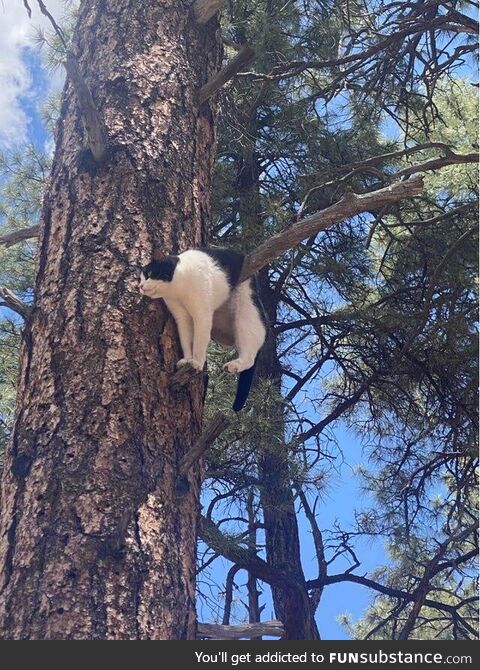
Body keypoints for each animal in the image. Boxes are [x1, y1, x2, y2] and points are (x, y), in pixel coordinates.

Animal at [139, 249, 266, 412]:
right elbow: (186, 340)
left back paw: (234, 365)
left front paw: (197, 363)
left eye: (149, 274)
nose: (140, 286)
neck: (178, 289)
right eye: (141, 276)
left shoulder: (202, 314)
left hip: (246, 312)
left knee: (251, 354)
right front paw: (187, 360)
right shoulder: (182, 317)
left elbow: (199, 342)